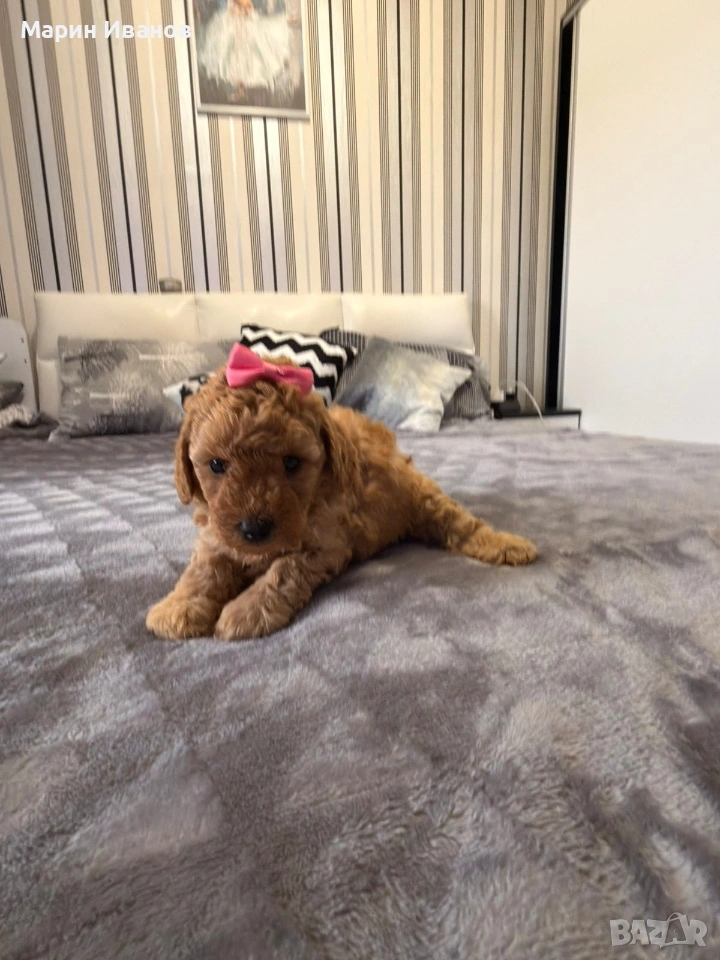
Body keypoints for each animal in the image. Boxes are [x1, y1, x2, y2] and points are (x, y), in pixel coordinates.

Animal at [146, 347, 538, 642]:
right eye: (216, 465)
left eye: (292, 462)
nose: (254, 530)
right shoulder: (216, 533)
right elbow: (203, 570)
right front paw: (178, 607)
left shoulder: (325, 544)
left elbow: (282, 571)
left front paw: (246, 611)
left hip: (424, 499)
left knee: (463, 525)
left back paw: (510, 545)